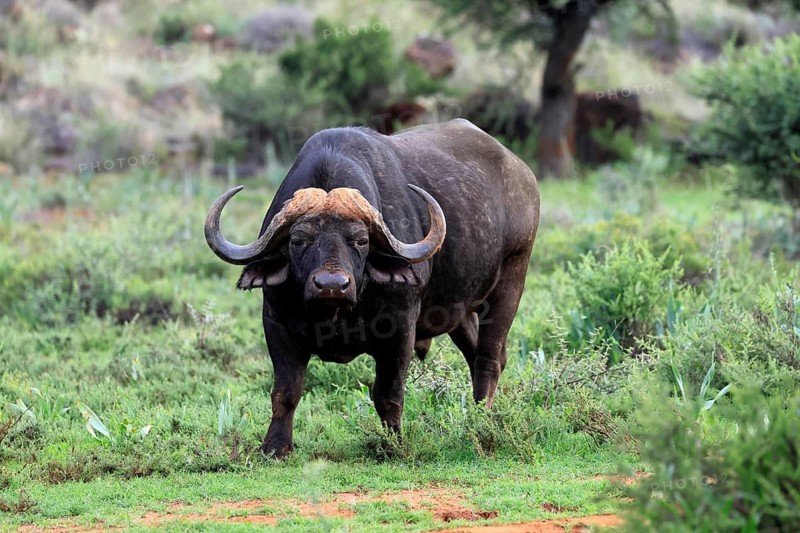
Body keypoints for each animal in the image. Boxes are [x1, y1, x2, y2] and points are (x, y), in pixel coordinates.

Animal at [205, 119, 540, 458]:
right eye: (298, 240)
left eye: (361, 240)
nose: (331, 286)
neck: (336, 315)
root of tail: (522, 173)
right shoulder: (276, 324)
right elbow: (286, 392)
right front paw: (275, 447)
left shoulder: (401, 331)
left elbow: (388, 394)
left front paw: (393, 445)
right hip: (459, 311)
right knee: (480, 356)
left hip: (511, 280)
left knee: (489, 360)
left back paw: (482, 423)